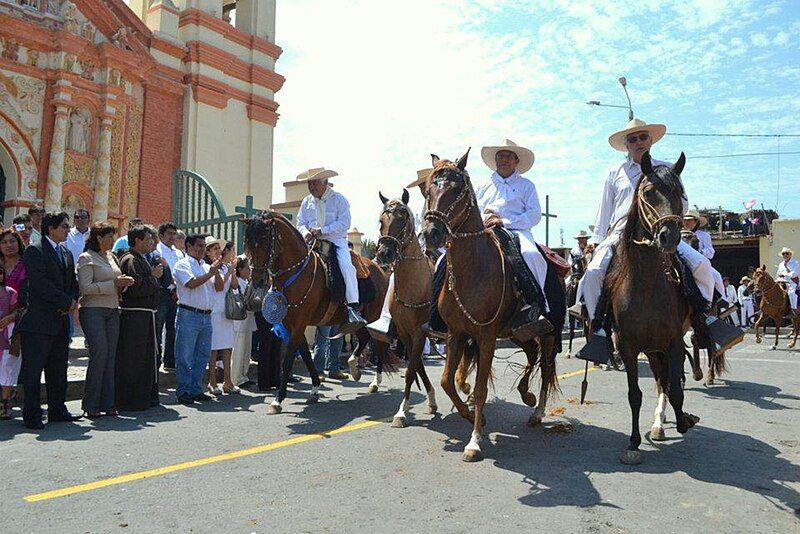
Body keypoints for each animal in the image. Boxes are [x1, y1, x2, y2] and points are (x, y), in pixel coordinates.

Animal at [245, 213, 392, 414]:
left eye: (265, 240)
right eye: (248, 242)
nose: (258, 280)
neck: (296, 273)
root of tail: (379, 269)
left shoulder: (299, 323)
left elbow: (288, 360)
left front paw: (278, 400)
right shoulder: (292, 325)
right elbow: (306, 355)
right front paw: (314, 388)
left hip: (374, 316)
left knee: (377, 343)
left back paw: (375, 381)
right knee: (364, 339)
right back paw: (354, 367)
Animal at [376, 192, 438, 428]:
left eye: (402, 220)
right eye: (381, 221)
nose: (384, 253)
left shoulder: (420, 331)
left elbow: (412, 369)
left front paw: (401, 413)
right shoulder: (404, 332)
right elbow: (416, 363)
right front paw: (431, 400)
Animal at [422, 151, 560, 464]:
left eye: (456, 190)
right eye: (428, 189)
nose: (432, 233)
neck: (472, 269)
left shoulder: (485, 337)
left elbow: (482, 387)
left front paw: (474, 441)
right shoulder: (456, 334)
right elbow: (448, 381)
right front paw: (474, 416)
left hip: (550, 332)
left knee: (546, 367)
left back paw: (537, 411)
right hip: (518, 332)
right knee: (532, 356)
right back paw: (526, 394)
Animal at [608, 153, 700, 466]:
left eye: (680, 193)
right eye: (648, 192)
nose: (669, 237)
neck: (647, 287)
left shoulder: (673, 343)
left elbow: (677, 390)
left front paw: (684, 420)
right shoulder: (628, 347)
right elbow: (634, 394)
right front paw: (634, 443)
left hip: (662, 347)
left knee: (668, 381)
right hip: (651, 350)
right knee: (661, 381)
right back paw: (658, 423)